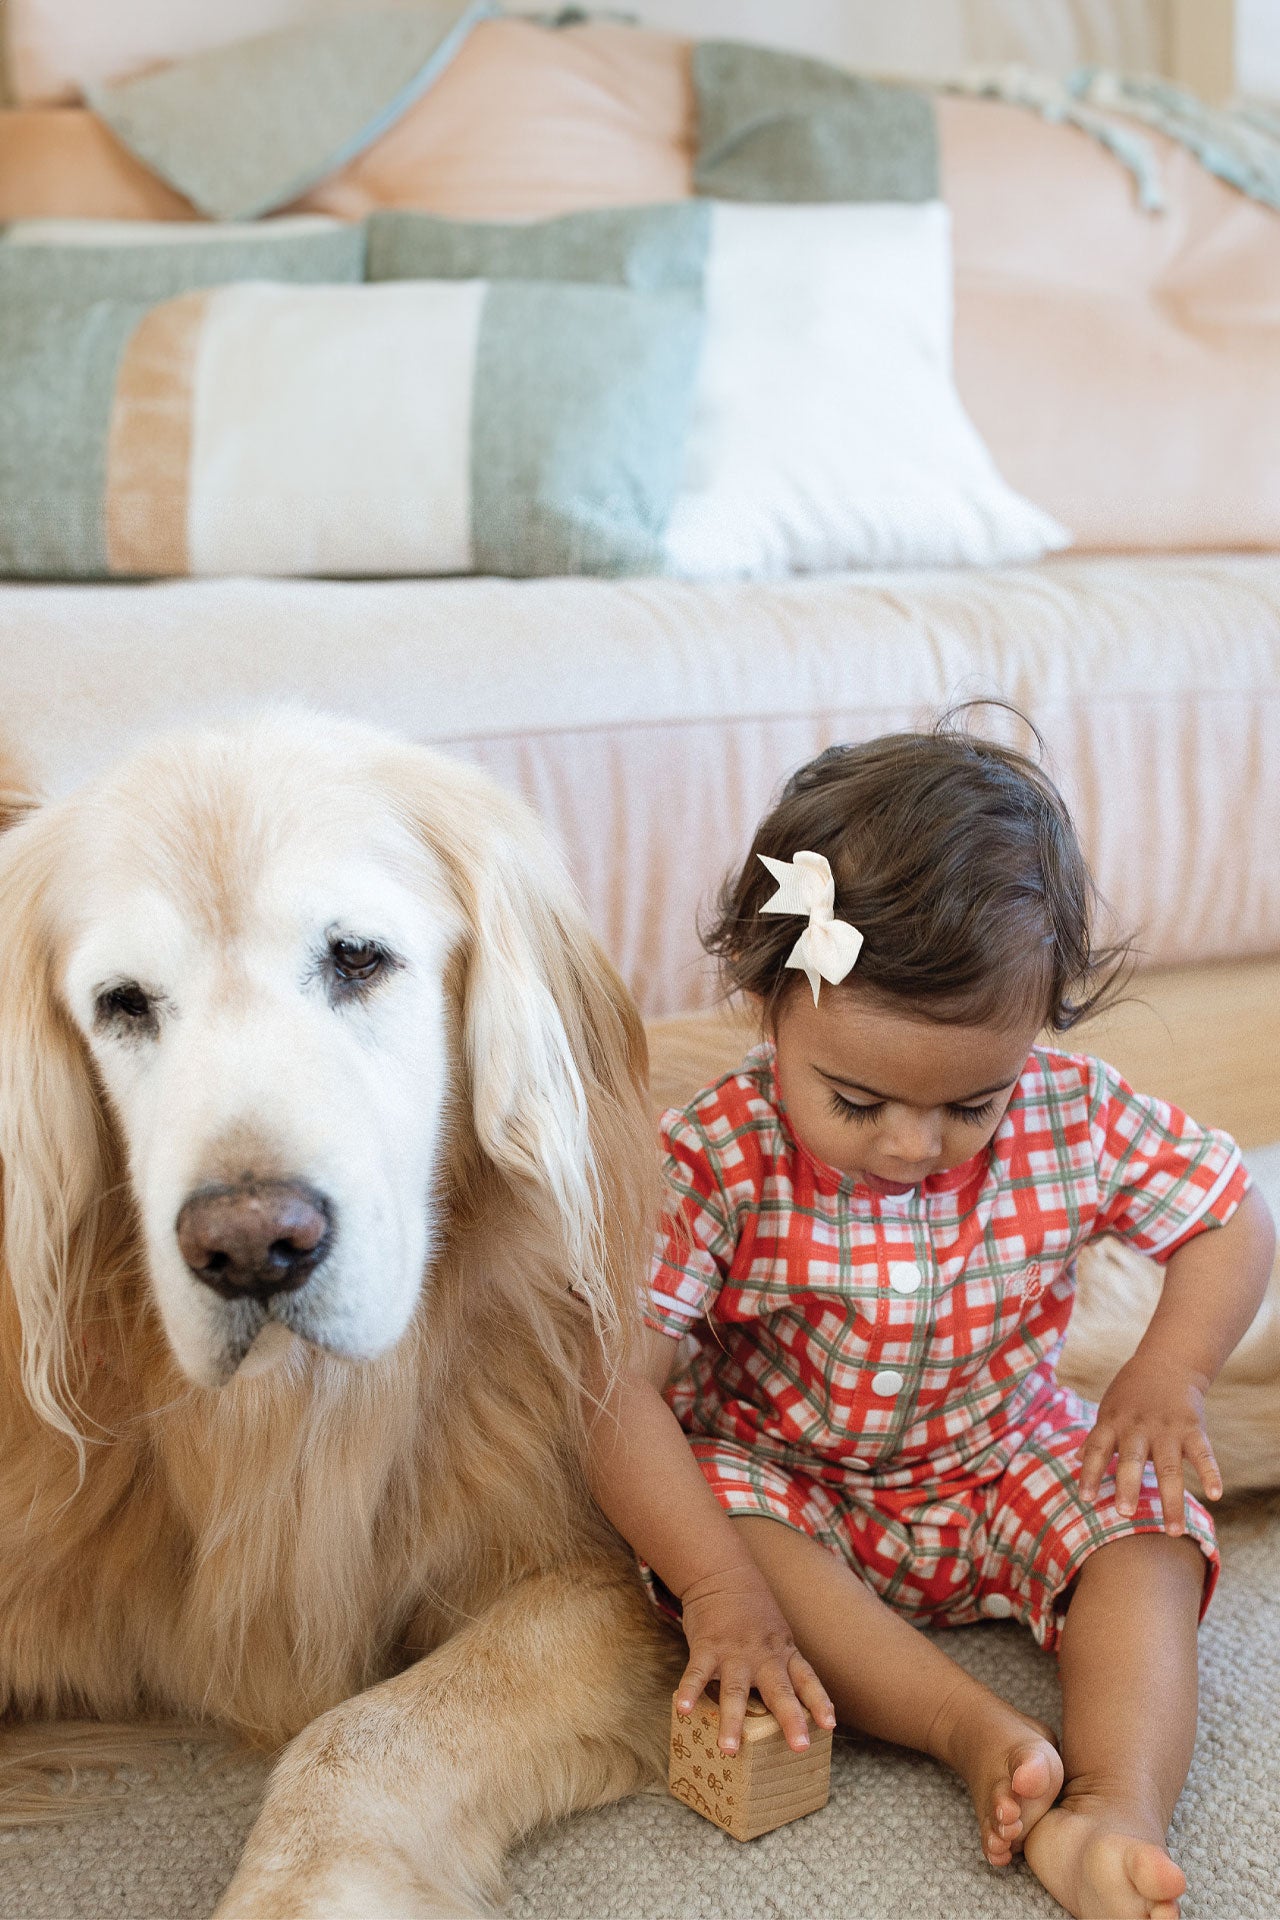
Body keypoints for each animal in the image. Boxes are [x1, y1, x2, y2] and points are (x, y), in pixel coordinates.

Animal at [0, 714, 679, 1912]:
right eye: (123, 1003)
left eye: (358, 958)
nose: (251, 1247)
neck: (286, 1413)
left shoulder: (596, 1576)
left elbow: (355, 1737)